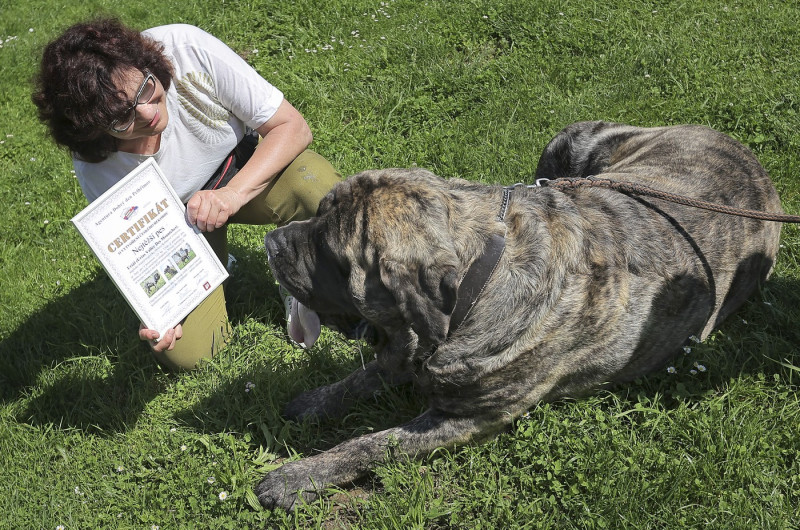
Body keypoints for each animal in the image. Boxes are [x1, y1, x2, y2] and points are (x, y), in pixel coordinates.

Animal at [260, 119, 780, 508]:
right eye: (317, 212)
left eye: (330, 252)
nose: (272, 241)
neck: (477, 280)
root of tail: (753, 161)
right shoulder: (404, 349)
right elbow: (361, 377)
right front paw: (315, 401)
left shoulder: (467, 419)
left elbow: (371, 442)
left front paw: (296, 476)